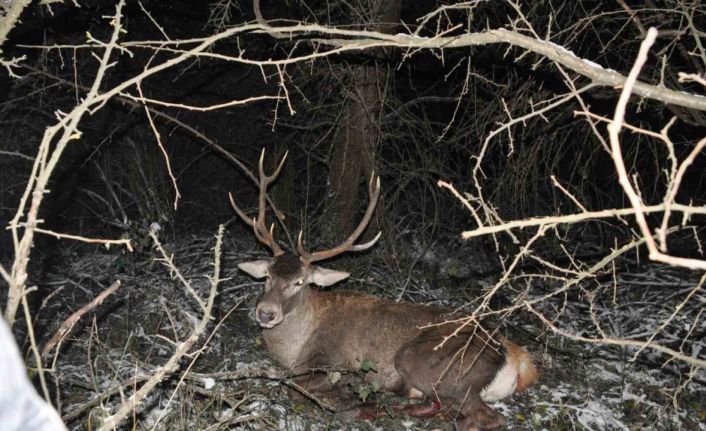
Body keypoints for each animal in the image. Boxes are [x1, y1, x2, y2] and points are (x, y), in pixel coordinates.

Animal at [228, 149, 536, 431]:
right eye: (268, 276)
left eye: (300, 282)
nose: (266, 313)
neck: (293, 350)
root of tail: (516, 359)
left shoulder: (334, 362)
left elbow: (296, 388)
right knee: (441, 405)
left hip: (425, 362)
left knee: (486, 417)